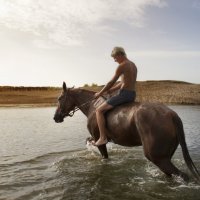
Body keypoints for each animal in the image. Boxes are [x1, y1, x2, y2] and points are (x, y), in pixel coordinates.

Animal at [54, 82, 199, 182]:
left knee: (182, 175)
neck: (92, 105)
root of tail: (172, 115)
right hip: (165, 157)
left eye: (60, 98)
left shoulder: (99, 140)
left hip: (157, 157)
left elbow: (104, 156)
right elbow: (89, 140)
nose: (56, 117)